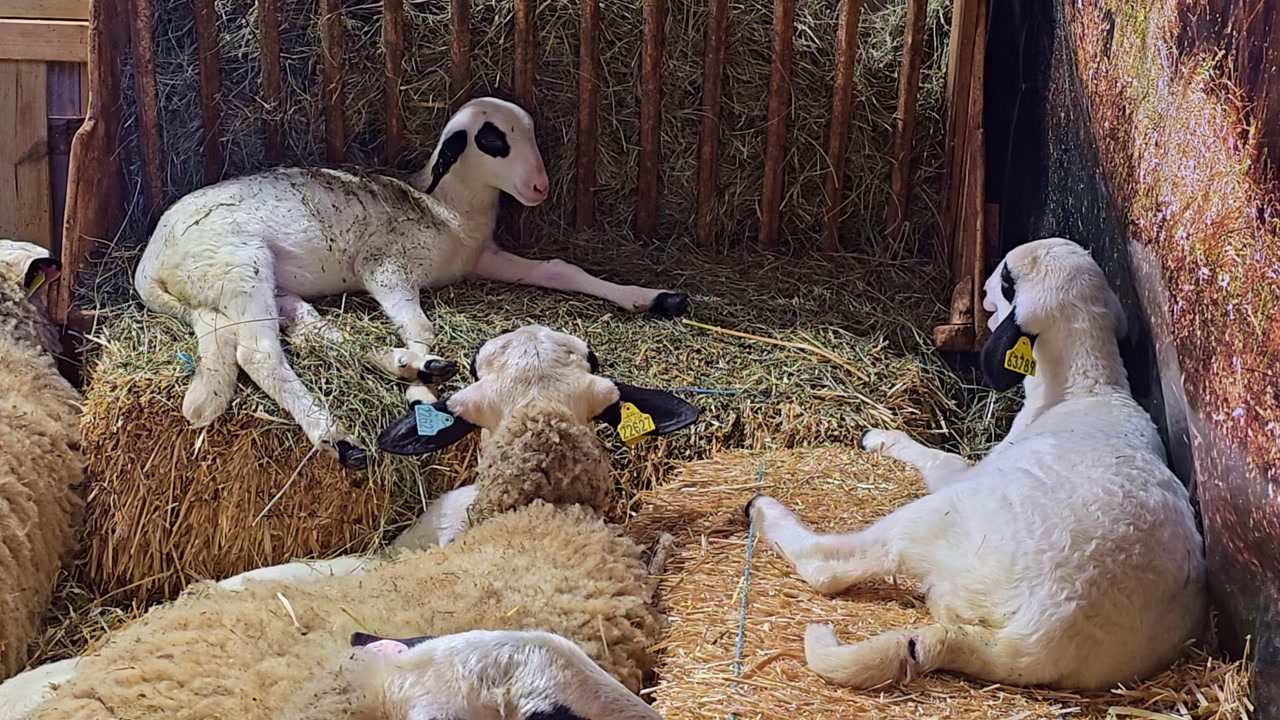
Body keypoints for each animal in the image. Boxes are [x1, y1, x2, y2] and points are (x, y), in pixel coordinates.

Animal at [133, 96, 692, 470]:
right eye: (494, 141)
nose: (539, 187)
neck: (449, 210)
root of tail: (149, 266)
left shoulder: (481, 258)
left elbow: (560, 269)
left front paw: (653, 298)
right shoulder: (387, 268)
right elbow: (421, 325)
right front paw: (421, 399)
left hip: (261, 285)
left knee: (320, 332)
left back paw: (404, 365)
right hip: (237, 266)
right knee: (260, 353)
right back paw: (337, 434)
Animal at [745, 237, 1208, 691]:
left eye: (1005, 280)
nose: (982, 288)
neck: (1086, 389)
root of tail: (1040, 634)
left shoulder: (970, 472)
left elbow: (943, 457)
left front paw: (878, 437)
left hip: (936, 519)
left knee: (827, 565)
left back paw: (764, 512)